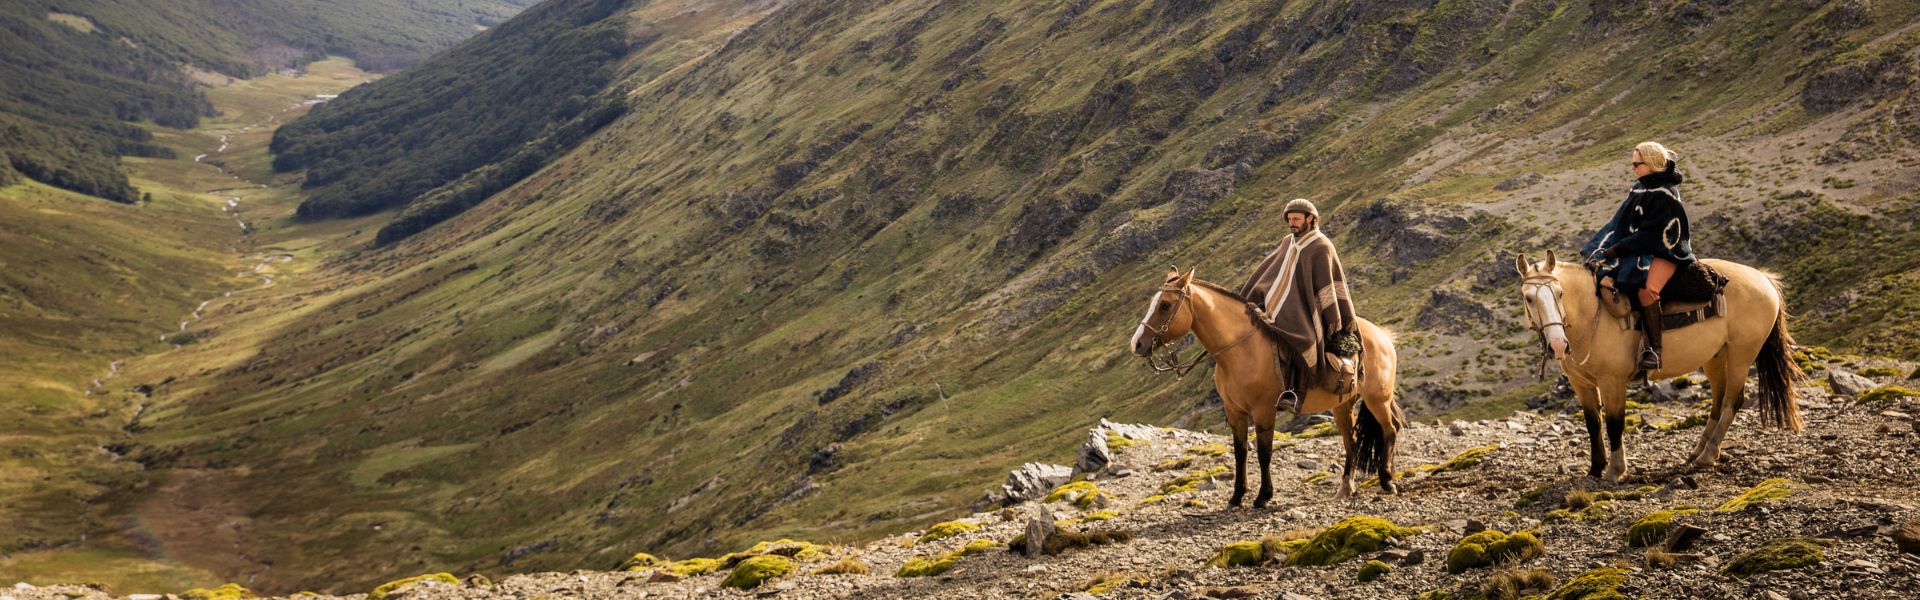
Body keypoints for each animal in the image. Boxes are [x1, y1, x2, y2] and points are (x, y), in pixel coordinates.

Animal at [1128, 267, 1405, 505]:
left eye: (1165, 305)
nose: (1137, 344)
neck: (1241, 350)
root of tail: (1381, 335)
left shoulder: (1264, 410)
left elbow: (1264, 452)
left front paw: (1263, 496)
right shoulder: (1234, 411)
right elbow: (1240, 451)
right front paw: (1237, 496)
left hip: (1377, 398)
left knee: (1390, 429)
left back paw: (1387, 481)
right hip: (1342, 404)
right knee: (1352, 439)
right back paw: (1346, 488)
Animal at [1514, 251, 1804, 482]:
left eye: (1560, 294)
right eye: (1528, 298)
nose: (1557, 345)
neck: (1592, 315)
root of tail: (1763, 278)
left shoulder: (1612, 381)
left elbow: (1614, 423)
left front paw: (1615, 471)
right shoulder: (1581, 383)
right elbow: (1592, 424)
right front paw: (1595, 469)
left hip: (1741, 355)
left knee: (1733, 401)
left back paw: (1708, 455)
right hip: (1716, 357)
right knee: (1718, 401)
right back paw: (1700, 450)